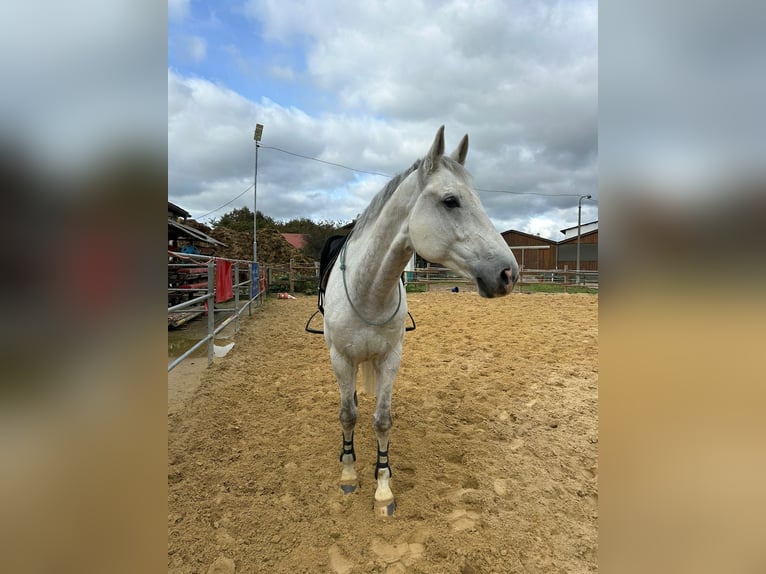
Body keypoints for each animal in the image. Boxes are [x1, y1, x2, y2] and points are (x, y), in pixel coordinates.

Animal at [320, 128, 520, 520]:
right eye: (450, 201)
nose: (508, 274)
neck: (368, 291)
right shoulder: (341, 358)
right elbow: (348, 415)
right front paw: (348, 474)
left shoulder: (391, 359)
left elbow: (382, 420)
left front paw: (383, 487)